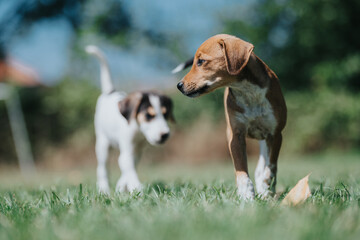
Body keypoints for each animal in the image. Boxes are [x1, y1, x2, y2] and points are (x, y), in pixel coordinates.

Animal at [85, 45, 174, 195]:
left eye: (166, 114)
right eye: (148, 115)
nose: (165, 135)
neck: (138, 132)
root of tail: (110, 92)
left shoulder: (137, 151)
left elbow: (129, 167)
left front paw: (122, 186)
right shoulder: (126, 149)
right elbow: (128, 168)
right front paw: (137, 188)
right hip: (102, 144)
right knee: (102, 169)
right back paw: (103, 189)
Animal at [176, 33, 286, 199]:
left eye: (201, 61)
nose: (179, 86)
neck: (248, 92)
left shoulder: (275, 134)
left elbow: (271, 167)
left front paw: (267, 188)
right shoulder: (235, 135)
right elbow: (240, 168)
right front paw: (246, 194)